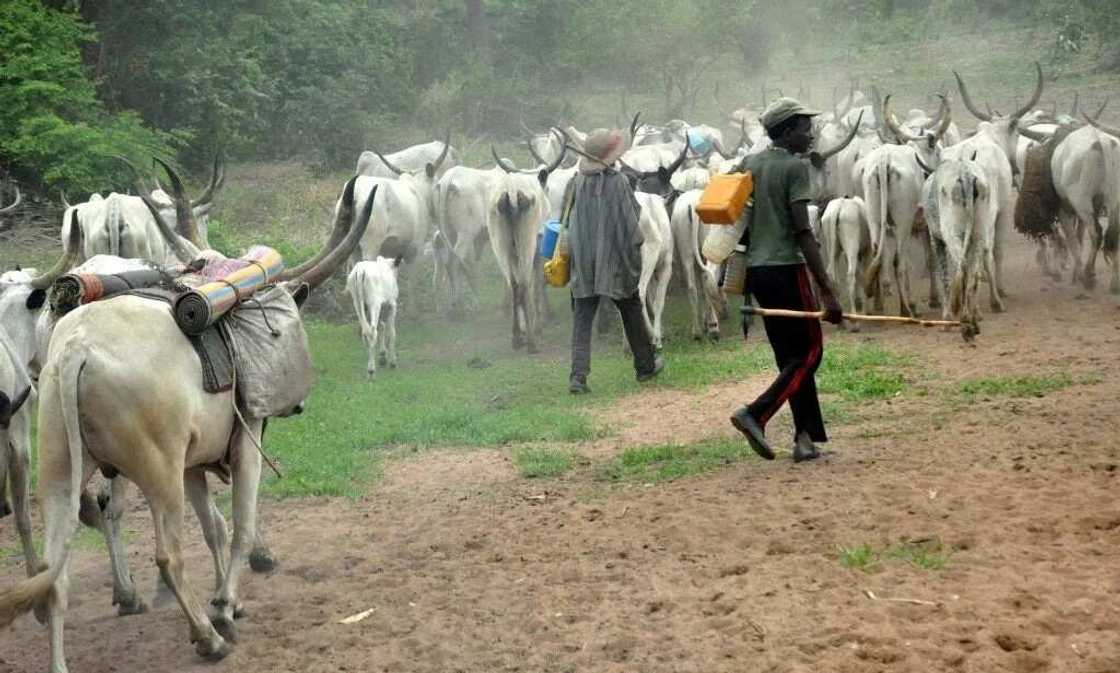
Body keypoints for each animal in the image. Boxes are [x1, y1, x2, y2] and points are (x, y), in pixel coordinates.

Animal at [0, 165, 378, 667]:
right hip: (158, 472)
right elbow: (239, 527)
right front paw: (226, 605)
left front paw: (226, 598)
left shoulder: (194, 464)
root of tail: (78, 349)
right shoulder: (244, 441)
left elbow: (214, 528)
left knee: (55, 574)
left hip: (61, 469)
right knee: (167, 555)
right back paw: (206, 635)